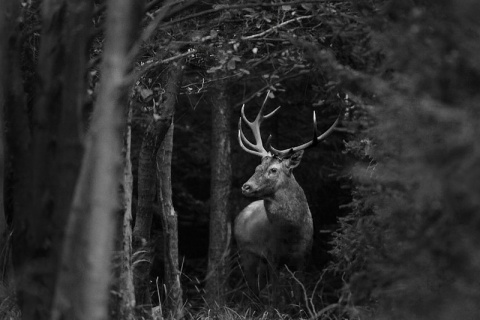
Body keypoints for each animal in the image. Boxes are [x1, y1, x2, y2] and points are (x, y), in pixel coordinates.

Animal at [233, 91, 338, 302]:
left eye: (273, 169)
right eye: (257, 167)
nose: (246, 187)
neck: (292, 235)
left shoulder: (304, 258)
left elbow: (298, 295)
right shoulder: (272, 256)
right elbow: (276, 298)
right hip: (245, 252)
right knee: (254, 289)